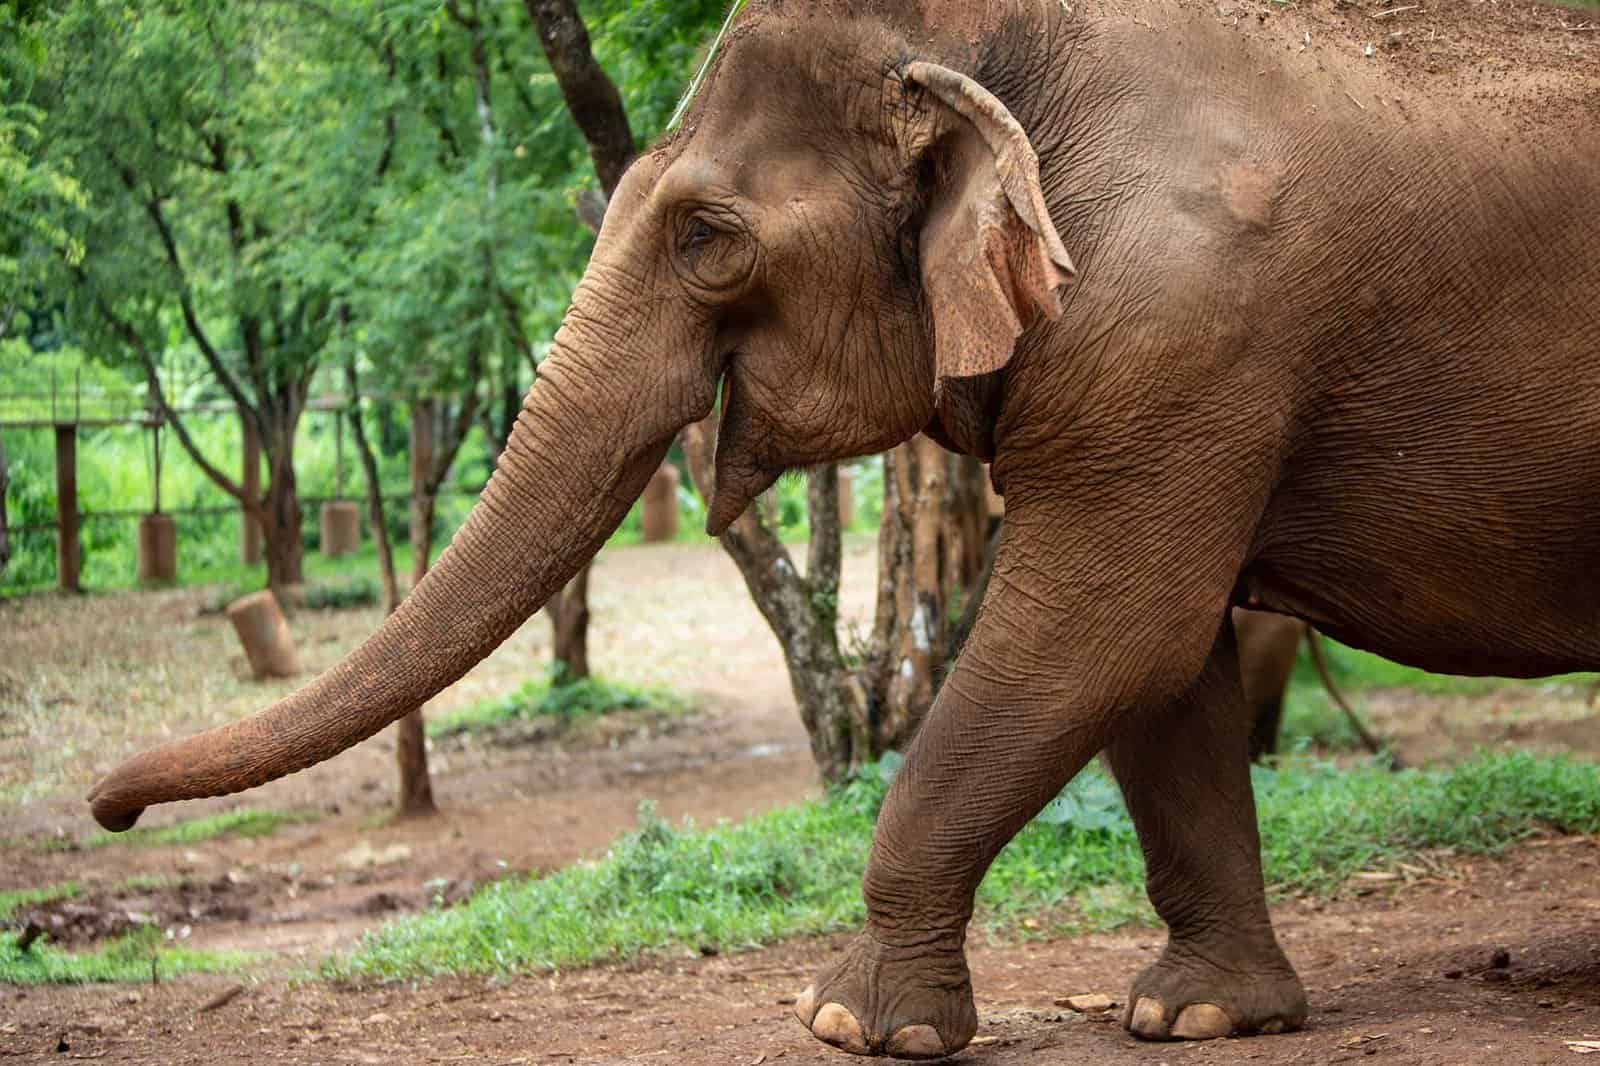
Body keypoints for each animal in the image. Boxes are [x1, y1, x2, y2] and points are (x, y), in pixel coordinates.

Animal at [88, 0, 1600, 1059]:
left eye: (706, 236)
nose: (107, 806)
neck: (1013, 38)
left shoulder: (1182, 330)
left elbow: (1109, 628)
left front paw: (850, 1026)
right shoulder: (1177, 368)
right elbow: (1166, 662)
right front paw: (1201, 1018)